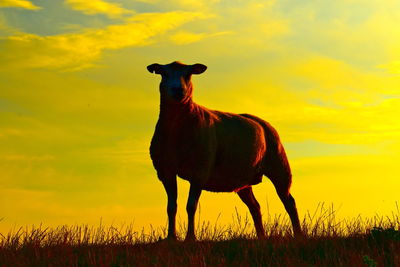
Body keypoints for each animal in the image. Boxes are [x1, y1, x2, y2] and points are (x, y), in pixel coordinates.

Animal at [147, 61, 300, 242]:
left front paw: (190, 238)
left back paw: (299, 234)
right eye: (163, 73)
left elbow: (191, 206)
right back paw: (261, 237)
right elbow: (171, 207)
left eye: (189, 74)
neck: (176, 129)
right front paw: (171, 238)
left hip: (279, 166)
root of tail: (262, 122)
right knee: (255, 207)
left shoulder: (200, 171)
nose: (178, 91)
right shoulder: (166, 171)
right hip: (243, 181)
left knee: (289, 201)